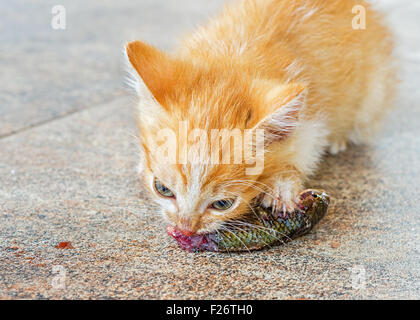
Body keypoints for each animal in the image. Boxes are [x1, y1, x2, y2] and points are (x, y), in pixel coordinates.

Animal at [124, 0, 394, 235]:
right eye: (162, 189)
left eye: (222, 204)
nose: (185, 229)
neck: (233, 57)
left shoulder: (312, 118)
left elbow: (303, 151)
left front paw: (282, 186)